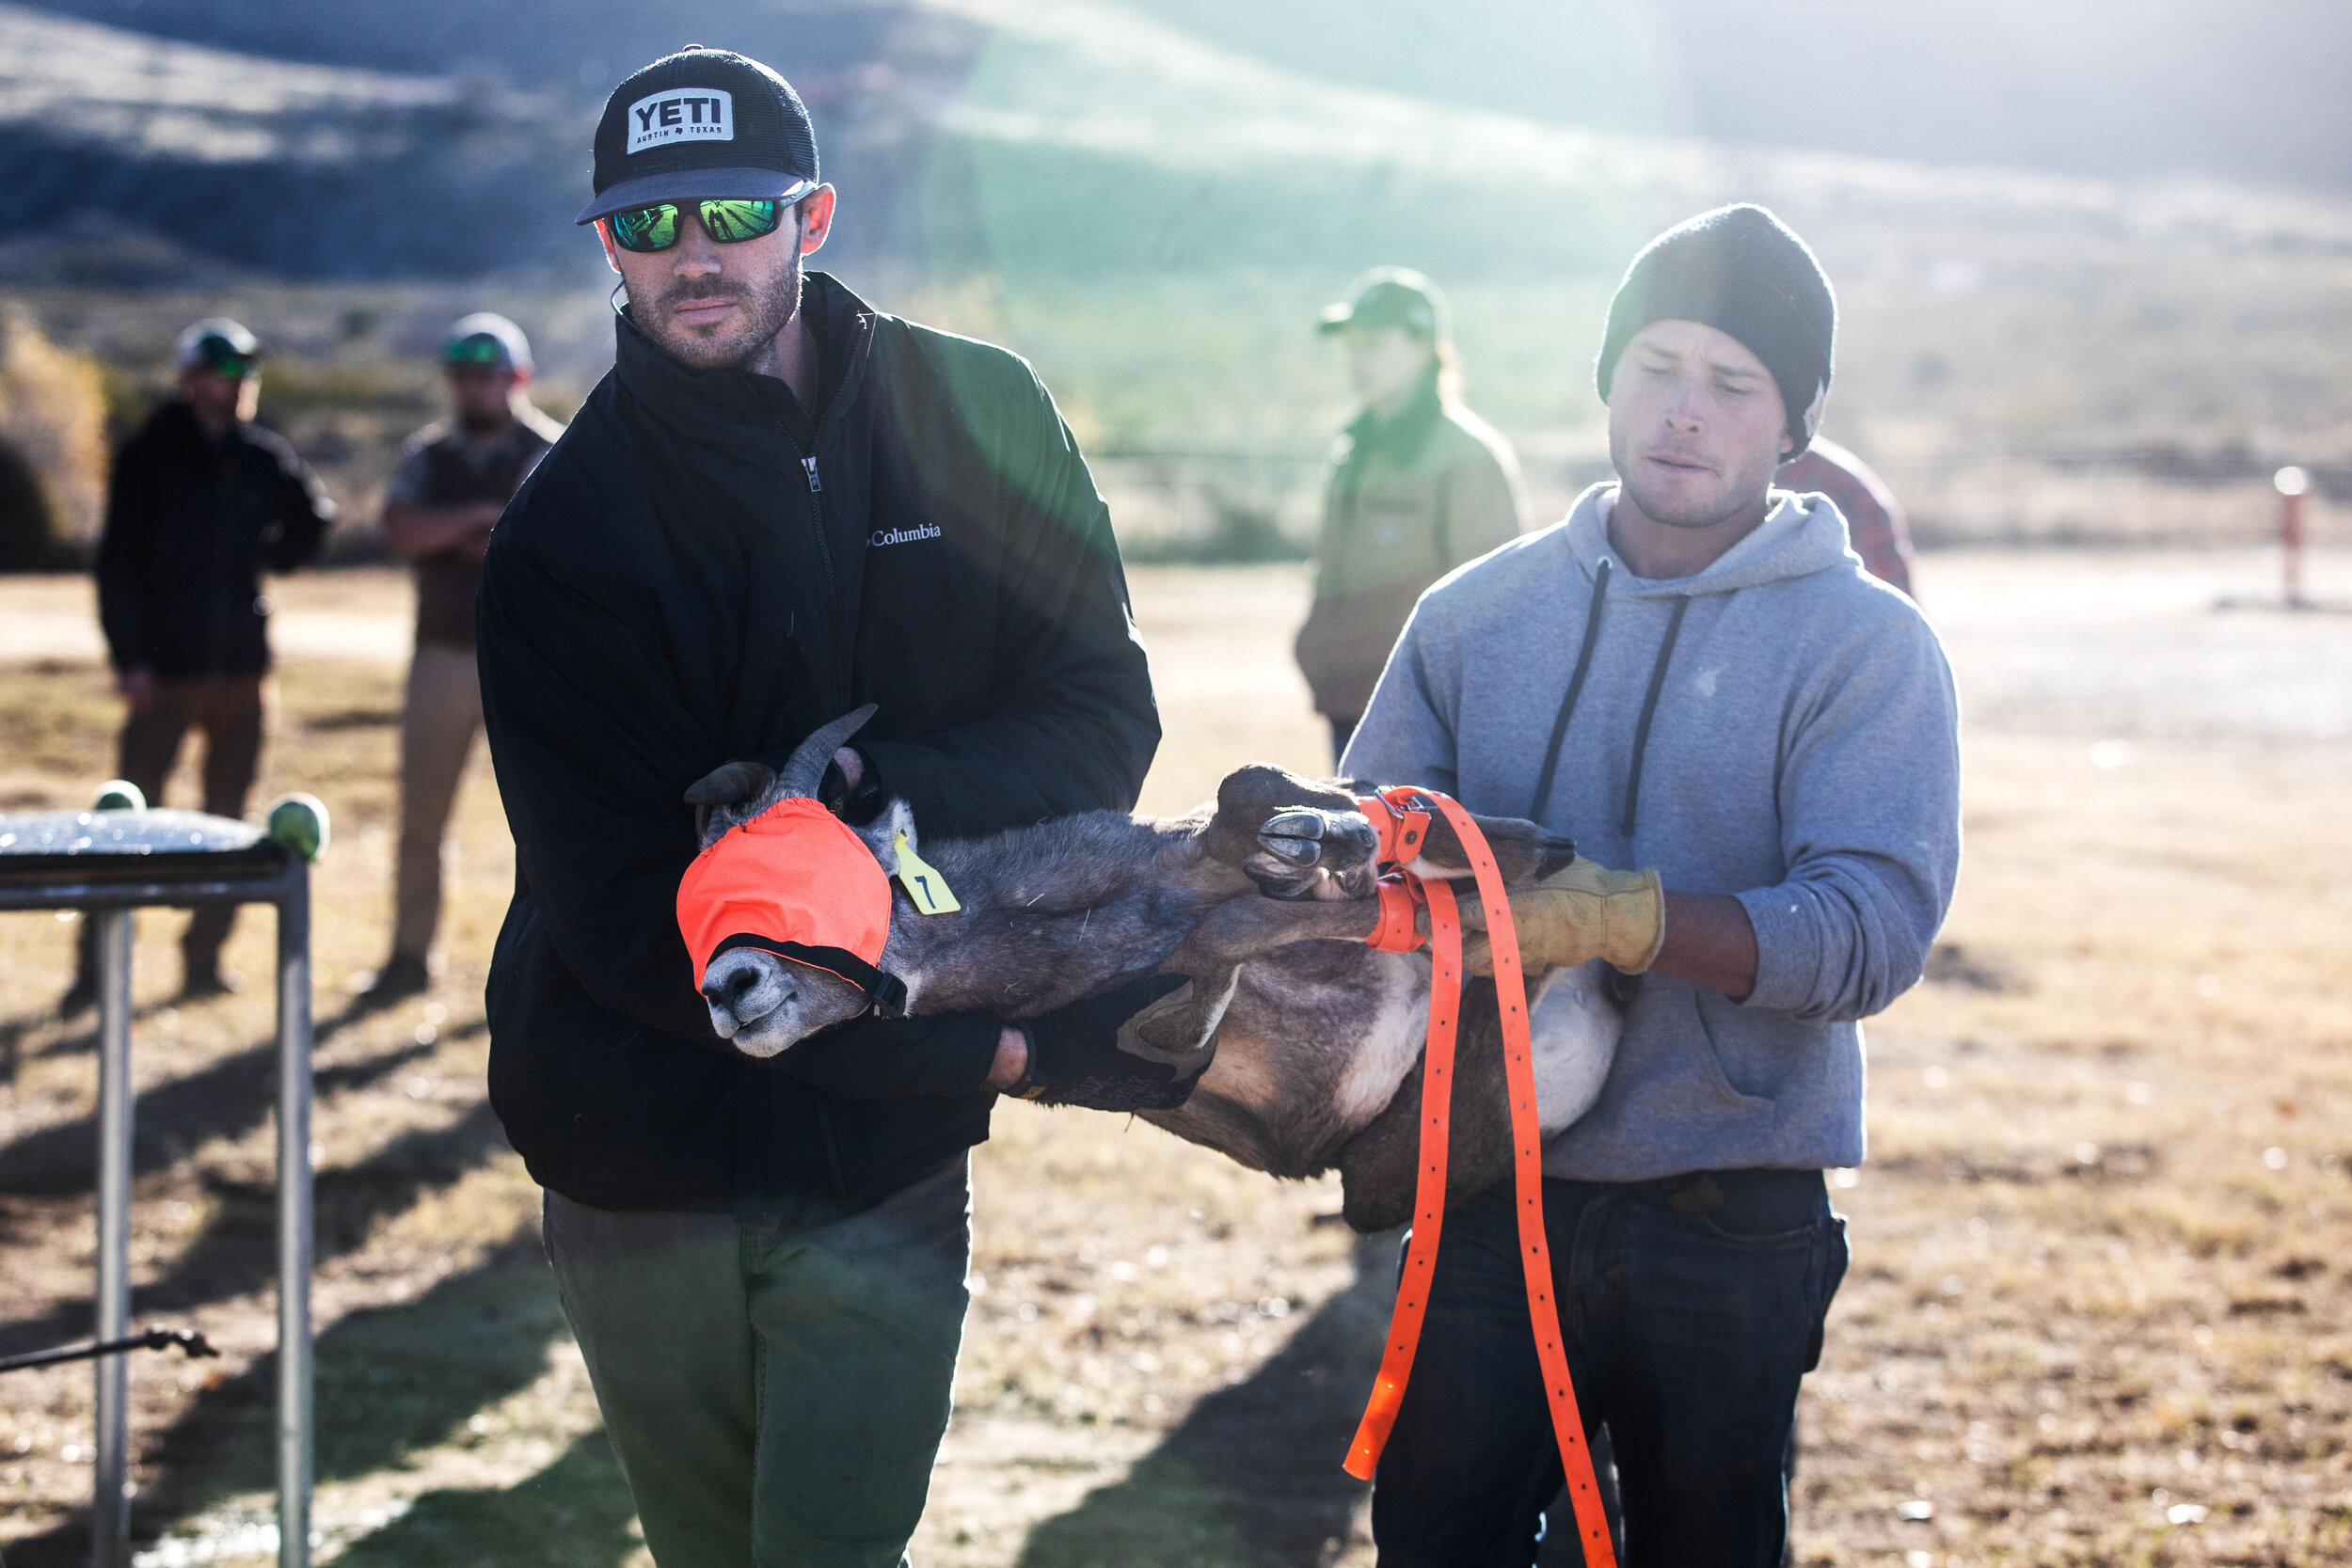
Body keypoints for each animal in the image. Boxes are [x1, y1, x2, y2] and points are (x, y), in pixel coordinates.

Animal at [687, 705, 1628, 1231]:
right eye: (697, 920)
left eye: (821, 875)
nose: (729, 988)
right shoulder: (1173, 1013)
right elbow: (1225, 933)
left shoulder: (1185, 842)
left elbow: (1257, 790)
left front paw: (1346, 833)